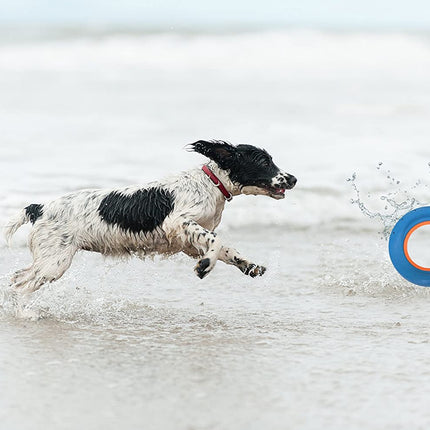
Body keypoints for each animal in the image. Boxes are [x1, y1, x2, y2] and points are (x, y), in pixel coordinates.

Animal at [5, 141, 296, 292]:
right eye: (264, 162)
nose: (293, 178)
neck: (210, 184)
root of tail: (39, 207)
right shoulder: (178, 222)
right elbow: (215, 241)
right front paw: (205, 266)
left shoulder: (188, 242)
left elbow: (226, 248)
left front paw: (248, 265)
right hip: (55, 261)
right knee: (21, 286)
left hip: (49, 259)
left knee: (16, 278)